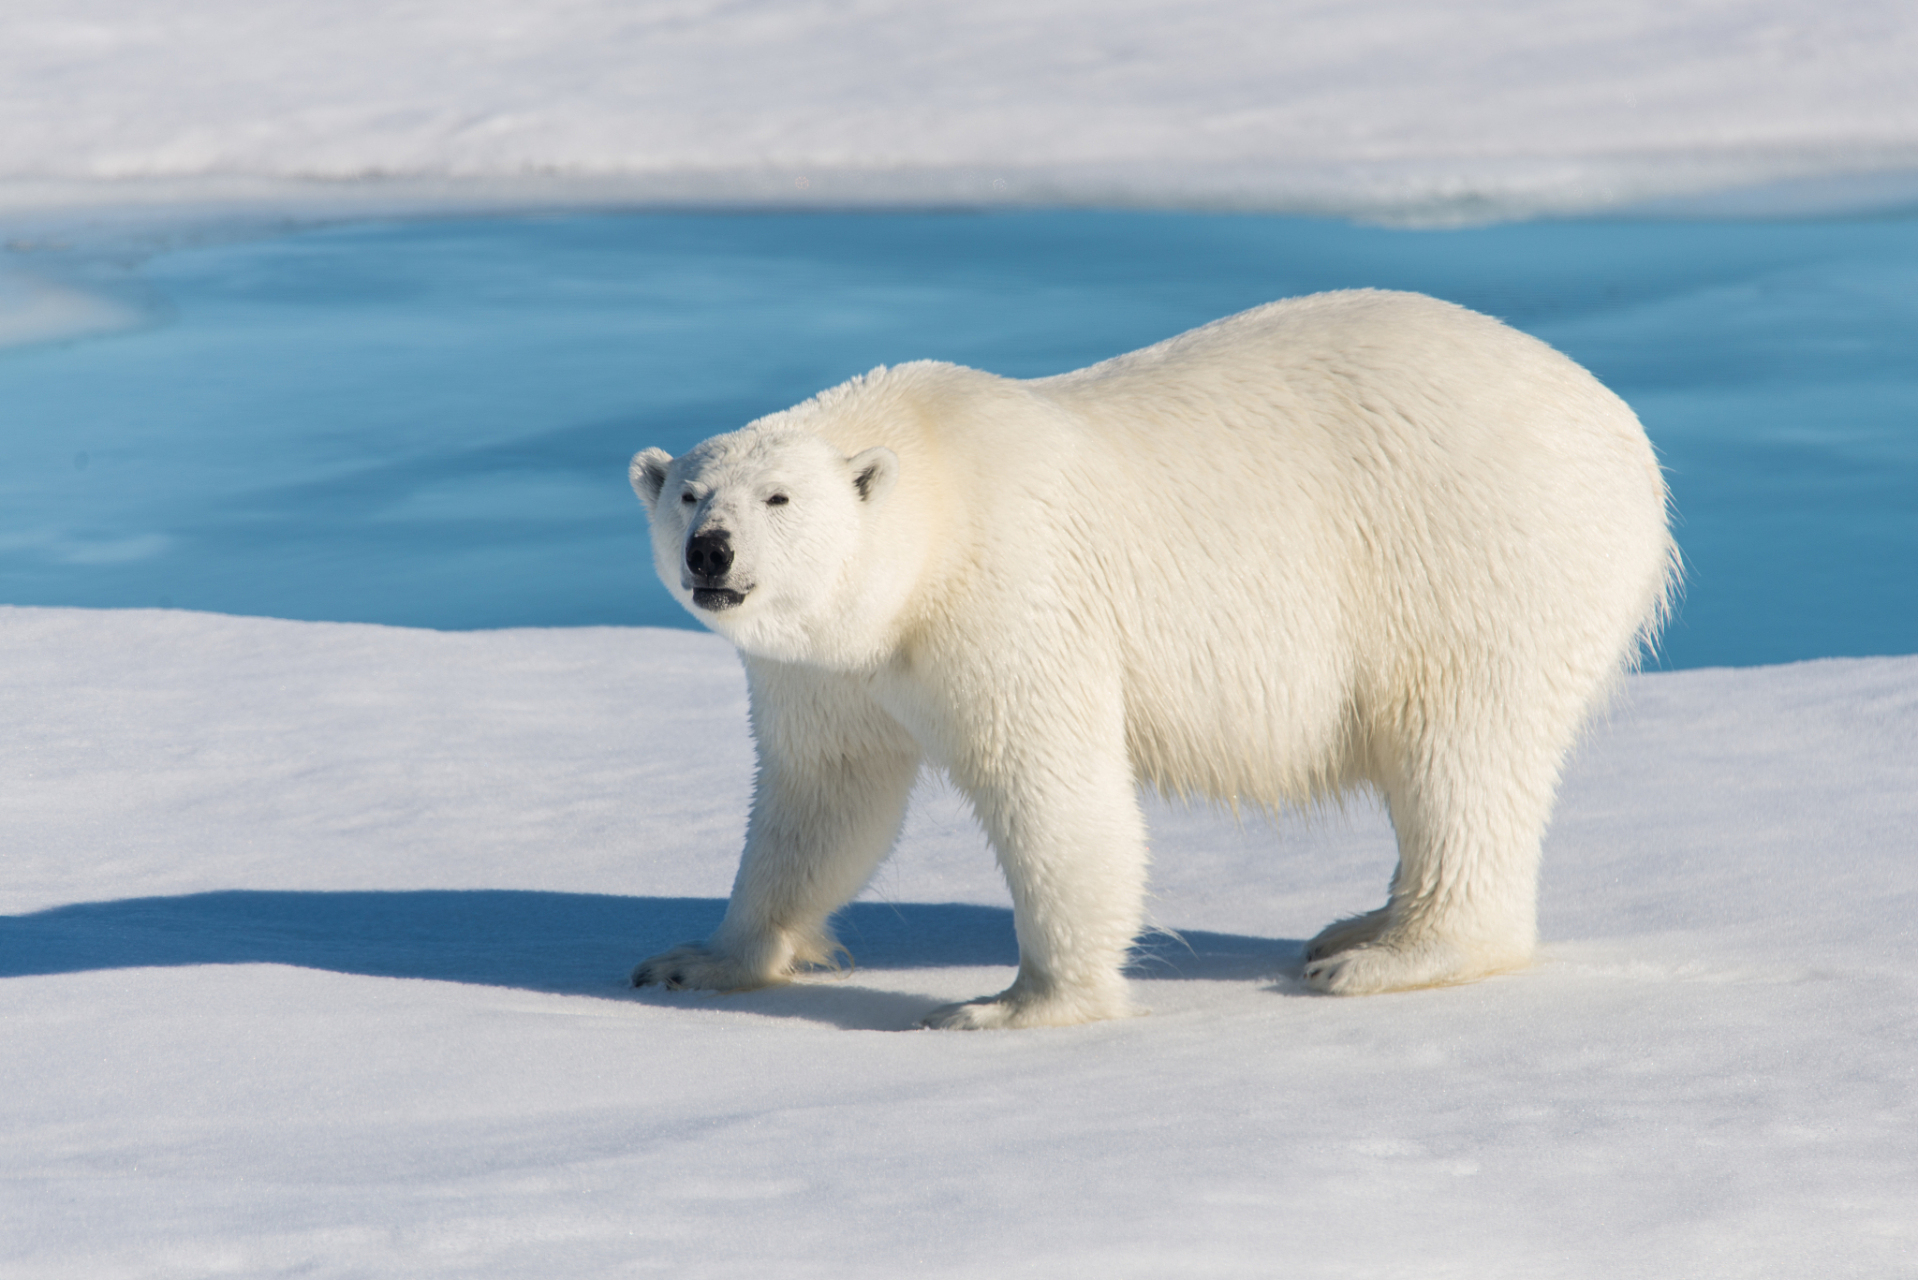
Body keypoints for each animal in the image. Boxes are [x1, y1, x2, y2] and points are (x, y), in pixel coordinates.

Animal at [632, 289, 1680, 1028]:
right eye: (689, 493)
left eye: (777, 498)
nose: (711, 553)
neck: (934, 493)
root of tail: (1623, 431)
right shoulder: (830, 668)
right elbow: (823, 796)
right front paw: (698, 959)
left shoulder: (1011, 593)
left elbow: (1052, 786)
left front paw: (1014, 1004)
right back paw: (1360, 925)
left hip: (1476, 559)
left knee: (1458, 750)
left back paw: (1386, 955)